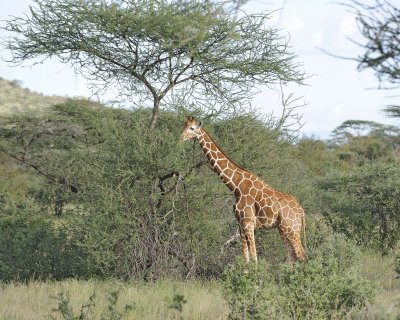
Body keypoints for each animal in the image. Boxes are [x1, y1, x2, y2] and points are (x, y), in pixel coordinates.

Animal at [181, 116, 306, 264]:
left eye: (192, 128)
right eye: (184, 125)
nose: (180, 138)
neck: (236, 186)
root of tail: (301, 211)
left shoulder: (248, 223)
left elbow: (254, 256)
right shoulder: (240, 224)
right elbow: (245, 256)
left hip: (291, 229)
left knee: (302, 255)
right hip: (284, 229)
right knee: (292, 257)